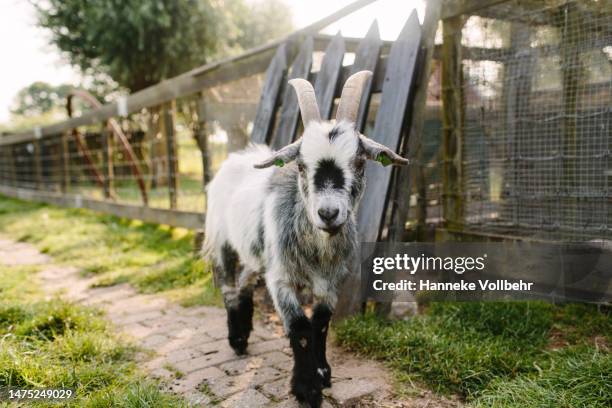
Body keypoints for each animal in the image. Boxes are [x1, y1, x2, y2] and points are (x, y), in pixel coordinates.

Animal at [203, 71, 408, 406]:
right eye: (300, 165)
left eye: (360, 162)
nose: (328, 213)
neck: (318, 247)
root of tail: (237, 157)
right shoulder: (281, 279)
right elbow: (300, 329)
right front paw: (307, 388)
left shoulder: (332, 282)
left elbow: (321, 324)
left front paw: (323, 372)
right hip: (221, 241)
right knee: (228, 288)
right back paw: (235, 338)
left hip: (257, 254)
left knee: (245, 281)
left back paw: (244, 335)